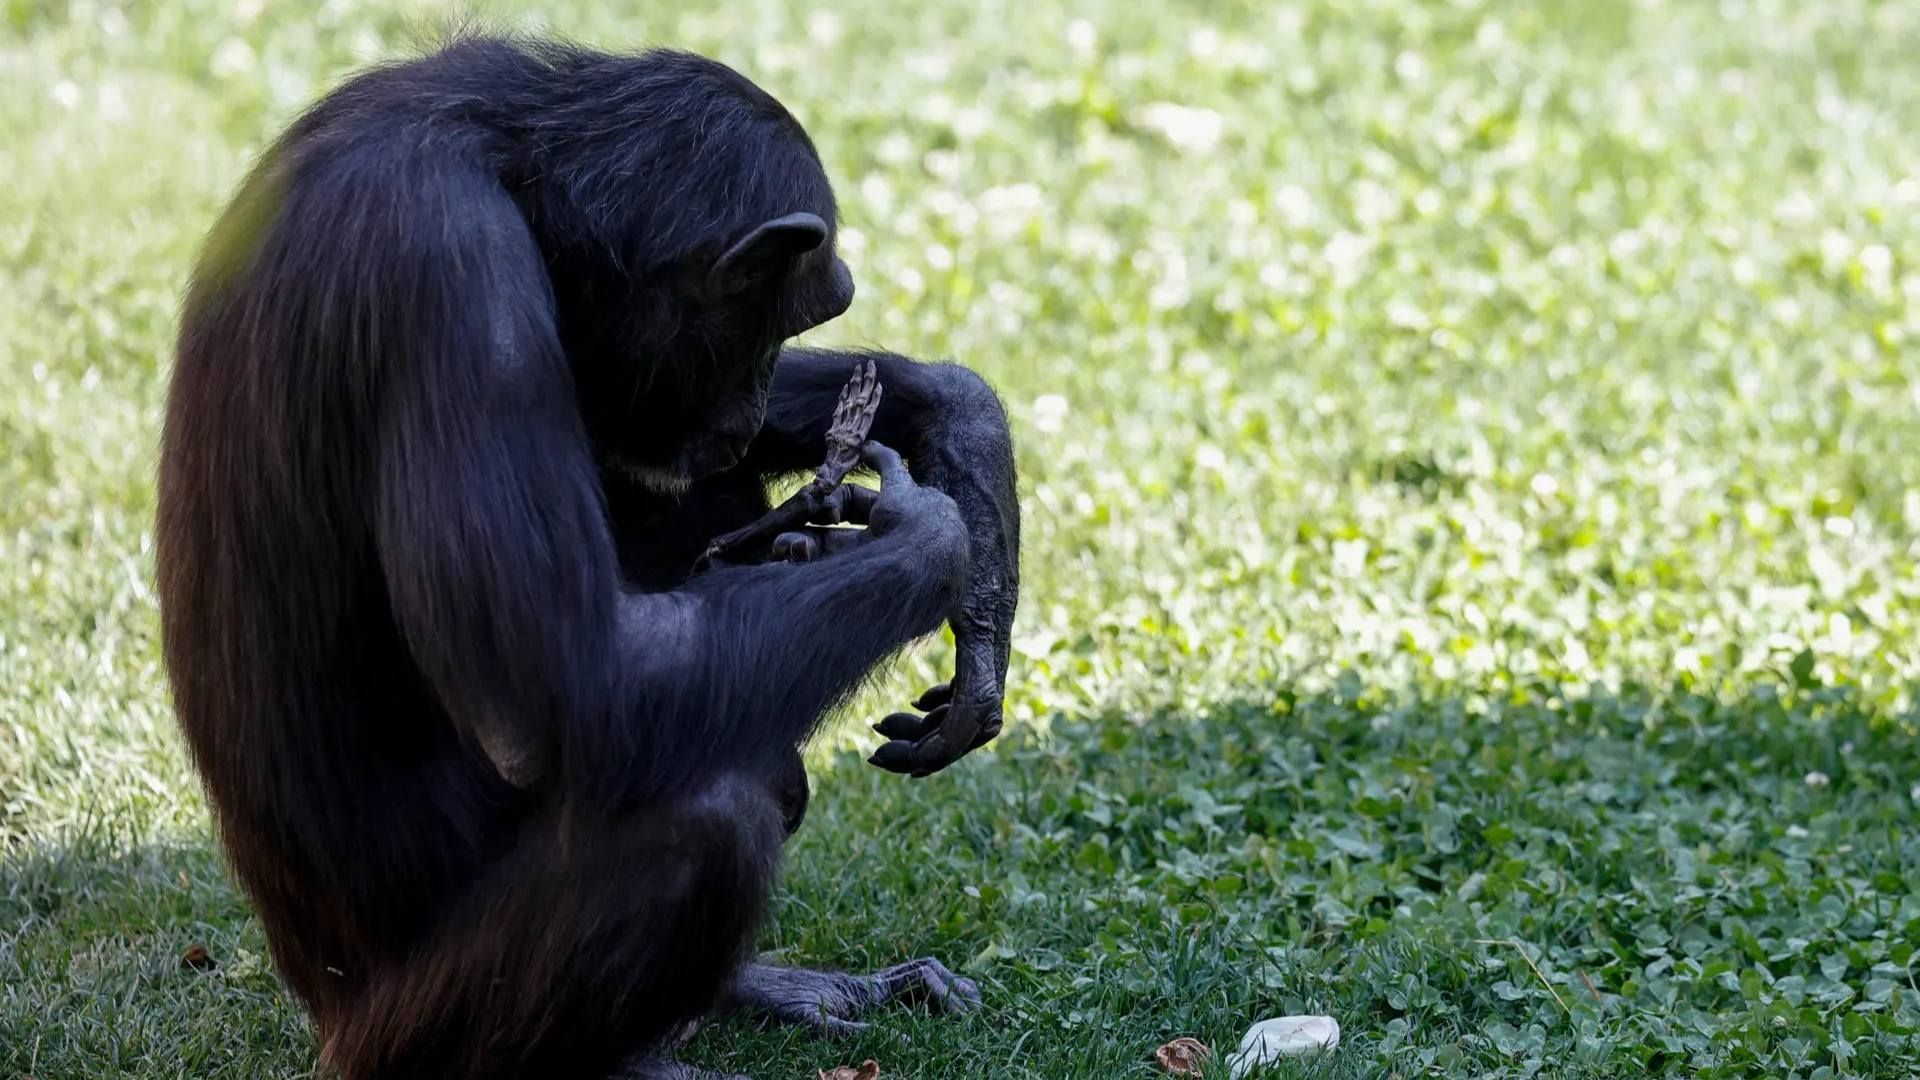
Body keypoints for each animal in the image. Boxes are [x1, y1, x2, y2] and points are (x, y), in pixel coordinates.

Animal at [153, 33, 1021, 1076]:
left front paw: (964, 446)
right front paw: (930, 537)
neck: (509, 165)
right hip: (407, 1029)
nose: (744, 413)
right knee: (709, 818)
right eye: (773, 322)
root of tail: (322, 1018)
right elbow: (573, 681)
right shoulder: (452, 278)